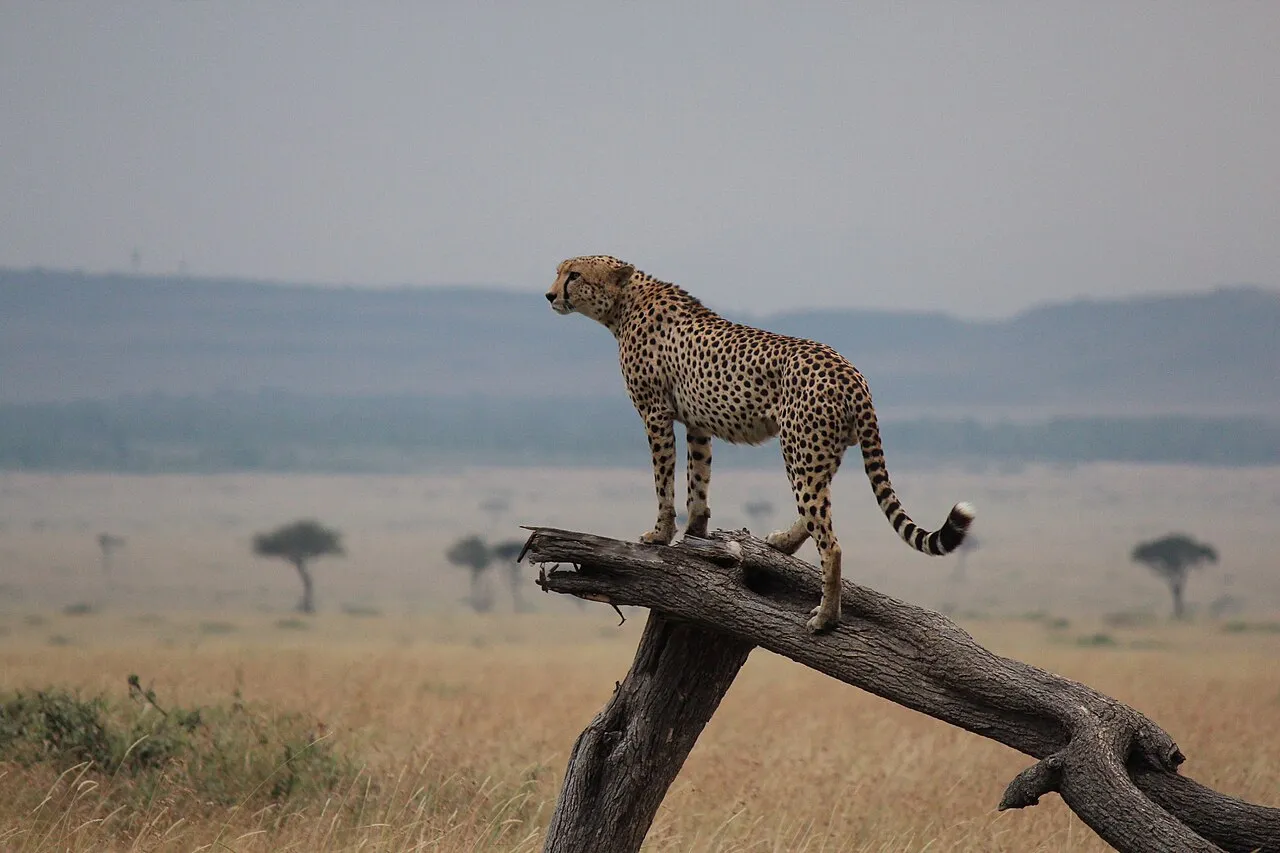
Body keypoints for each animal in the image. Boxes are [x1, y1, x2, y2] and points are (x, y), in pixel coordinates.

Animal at [545, 254, 974, 633]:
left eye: (574, 274)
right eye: (560, 271)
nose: (550, 295)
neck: (625, 304)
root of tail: (850, 371)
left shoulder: (656, 414)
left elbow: (663, 481)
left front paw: (660, 535)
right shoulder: (698, 423)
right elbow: (697, 480)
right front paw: (696, 533)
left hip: (801, 449)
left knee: (830, 542)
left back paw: (825, 618)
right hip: (820, 450)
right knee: (816, 511)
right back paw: (782, 543)